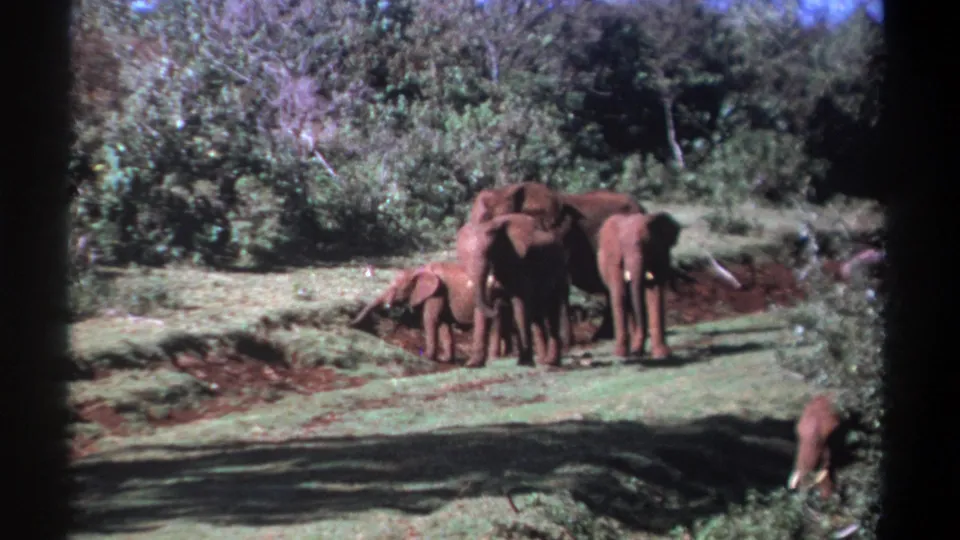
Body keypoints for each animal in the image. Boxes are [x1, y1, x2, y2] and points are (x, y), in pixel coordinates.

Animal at [349, 261, 514, 363]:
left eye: (397, 288)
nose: (350, 324)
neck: (419, 270)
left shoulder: (437, 292)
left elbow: (431, 319)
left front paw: (428, 358)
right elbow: (443, 323)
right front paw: (445, 359)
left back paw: (475, 362)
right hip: (498, 296)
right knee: (498, 321)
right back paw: (495, 360)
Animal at [456, 213, 571, 368]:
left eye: (489, 252)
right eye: (463, 259)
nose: (498, 305)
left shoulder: (519, 264)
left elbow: (519, 304)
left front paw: (525, 362)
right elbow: (481, 311)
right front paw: (473, 364)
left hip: (559, 269)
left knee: (552, 309)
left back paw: (551, 363)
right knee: (537, 315)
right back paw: (542, 361)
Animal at [596, 211, 683, 359]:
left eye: (647, 245)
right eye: (623, 246)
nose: (636, 352)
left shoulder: (660, 255)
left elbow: (655, 293)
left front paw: (662, 355)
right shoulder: (614, 260)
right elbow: (620, 293)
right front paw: (620, 355)